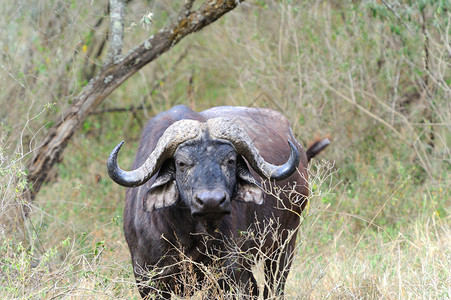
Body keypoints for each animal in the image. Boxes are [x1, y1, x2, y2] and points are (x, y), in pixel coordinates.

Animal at [107, 105, 330, 298]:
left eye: (230, 161)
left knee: (274, 285)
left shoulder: (225, 273)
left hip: (284, 244)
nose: (211, 201)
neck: (185, 231)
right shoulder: (147, 278)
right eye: (181, 163)